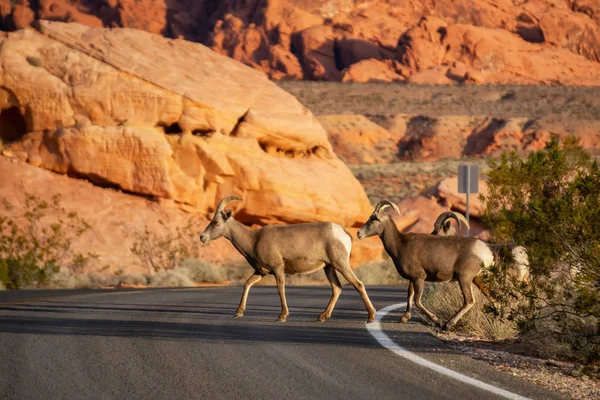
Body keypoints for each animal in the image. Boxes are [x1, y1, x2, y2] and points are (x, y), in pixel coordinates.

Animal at [199, 195, 376, 324]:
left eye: (216, 222)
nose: (202, 237)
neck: (253, 239)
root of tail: (343, 234)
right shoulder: (261, 272)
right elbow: (247, 284)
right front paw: (238, 313)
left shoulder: (278, 269)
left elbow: (280, 288)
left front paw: (282, 316)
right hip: (329, 267)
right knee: (337, 288)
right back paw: (322, 317)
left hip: (341, 264)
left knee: (358, 284)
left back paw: (371, 317)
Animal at [356, 202, 492, 330]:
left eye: (373, 219)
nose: (358, 233)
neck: (400, 245)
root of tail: (485, 251)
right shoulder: (412, 279)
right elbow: (409, 296)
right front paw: (404, 318)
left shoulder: (419, 277)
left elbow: (417, 301)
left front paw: (437, 320)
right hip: (477, 279)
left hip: (464, 279)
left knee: (469, 301)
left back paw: (448, 325)